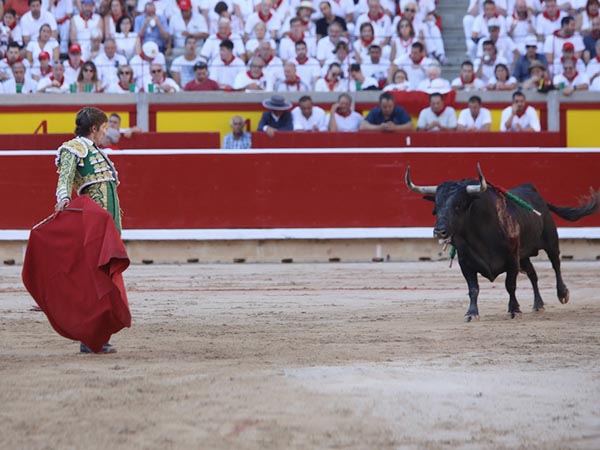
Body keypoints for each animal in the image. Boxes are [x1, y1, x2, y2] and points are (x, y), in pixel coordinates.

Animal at [405, 164, 598, 322]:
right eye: (435, 208)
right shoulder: (465, 263)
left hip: (550, 241)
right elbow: (473, 288)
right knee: (533, 274)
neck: (481, 233)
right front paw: (472, 313)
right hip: (524, 256)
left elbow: (510, 285)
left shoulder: (512, 259)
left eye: (458, 205)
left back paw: (562, 293)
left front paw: (514, 310)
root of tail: (535, 193)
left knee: (556, 264)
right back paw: (538, 304)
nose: (439, 231)